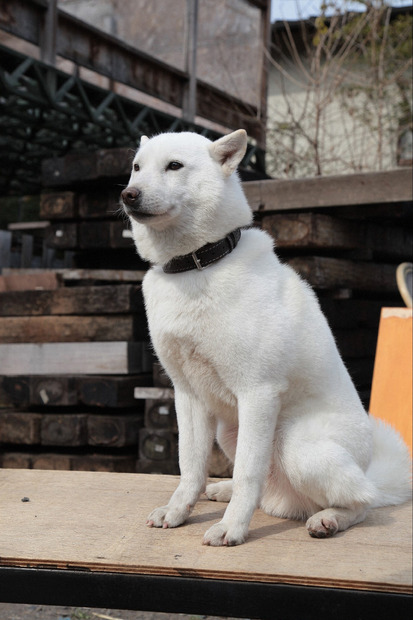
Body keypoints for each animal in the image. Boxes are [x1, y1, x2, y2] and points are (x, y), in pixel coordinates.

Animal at [120, 128, 410, 544]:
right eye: (136, 167)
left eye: (174, 166)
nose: (128, 194)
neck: (196, 266)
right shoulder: (188, 395)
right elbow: (190, 465)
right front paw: (178, 512)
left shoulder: (257, 393)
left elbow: (247, 472)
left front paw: (232, 529)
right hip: (230, 431)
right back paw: (225, 492)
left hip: (295, 445)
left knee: (362, 502)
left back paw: (329, 519)